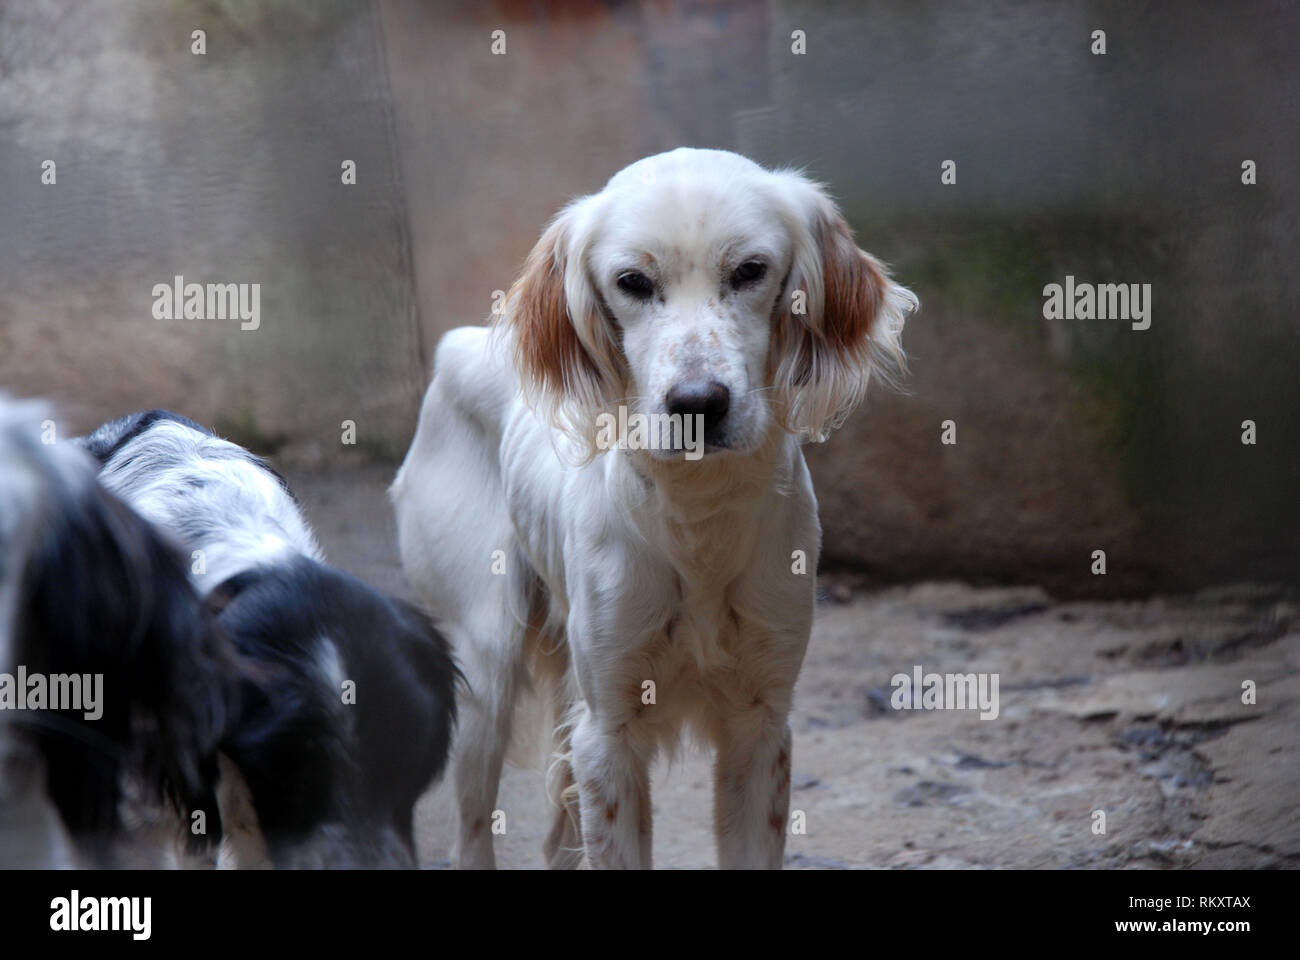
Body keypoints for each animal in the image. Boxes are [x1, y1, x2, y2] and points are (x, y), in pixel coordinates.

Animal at [387, 147, 915, 868]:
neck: (699, 526)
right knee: (470, 835)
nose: (697, 403)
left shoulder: (761, 725)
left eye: (750, 271)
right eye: (632, 282)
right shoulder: (608, 734)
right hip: (486, 670)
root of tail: (456, 346)